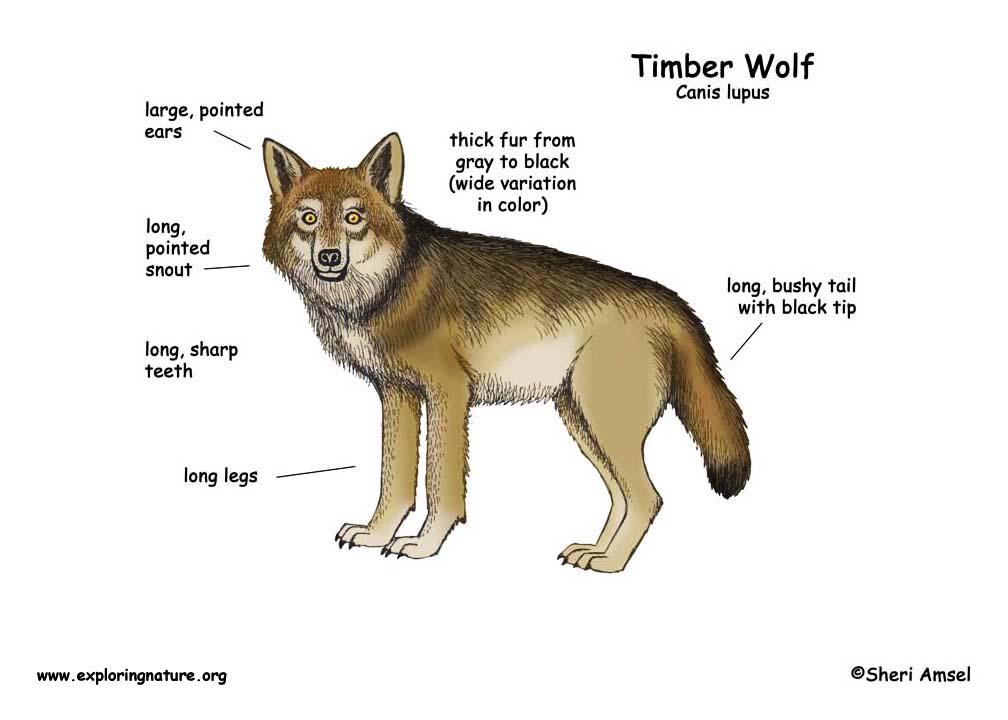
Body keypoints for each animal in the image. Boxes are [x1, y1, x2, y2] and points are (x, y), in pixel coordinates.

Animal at [262, 133, 750, 572]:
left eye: (353, 218)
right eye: (309, 218)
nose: (328, 257)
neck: (384, 288)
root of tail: (672, 301)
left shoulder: (448, 393)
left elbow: (441, 484)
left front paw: (423, 545)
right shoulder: (397, 394)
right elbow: (395, 481)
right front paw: (377, 534)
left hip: (603, 425)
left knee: (648, 498)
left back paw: (611, 564)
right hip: (582, 423)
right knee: (624, 496)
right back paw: (595, 552)